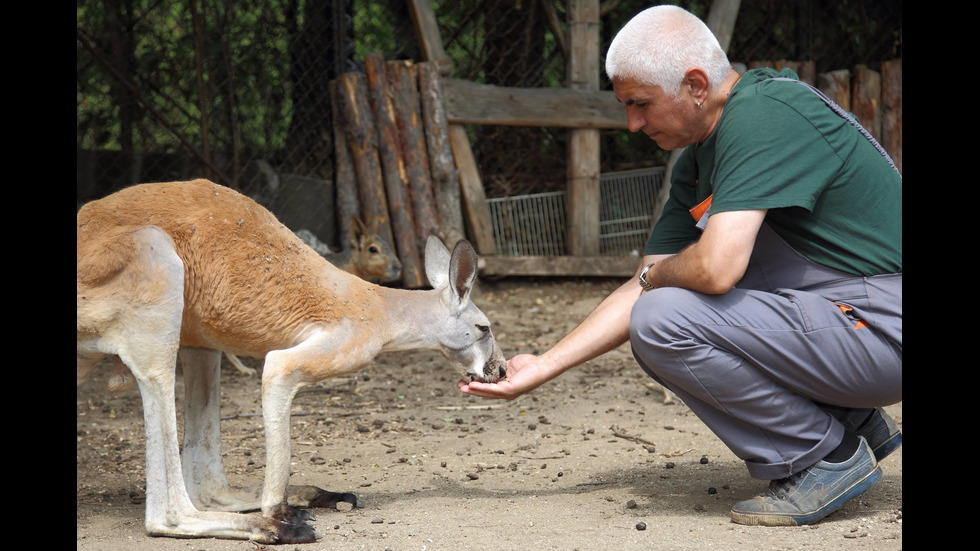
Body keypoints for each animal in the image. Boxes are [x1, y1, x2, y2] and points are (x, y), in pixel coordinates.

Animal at [76, 180, 506, 544]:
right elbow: (278, 375)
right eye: (483, 328)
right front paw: (275, 508)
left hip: (197, 330)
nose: (501, 369)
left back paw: (319, 496)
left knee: (207, 481)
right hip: (153, 266)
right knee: (166, 512)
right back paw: (274, 526)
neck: (380, 309)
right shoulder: (323, 349)